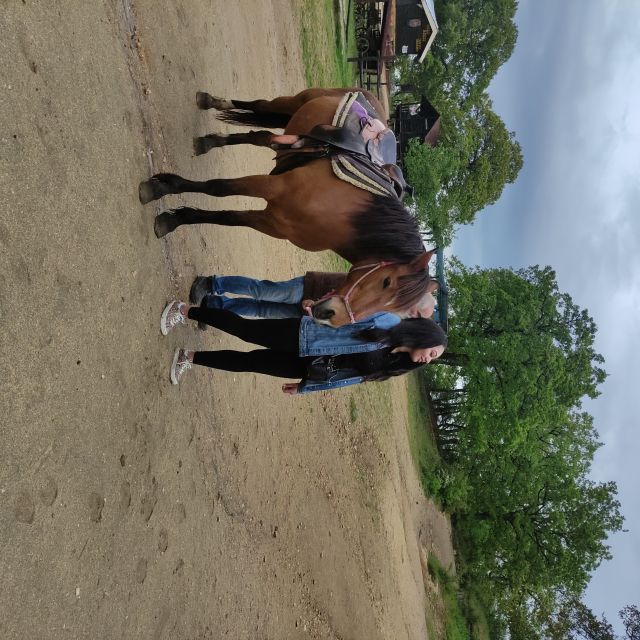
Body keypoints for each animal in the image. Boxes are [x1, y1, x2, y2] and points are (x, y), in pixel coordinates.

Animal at [139, 88, 437, 327]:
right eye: (386, 281)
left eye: (400, 312)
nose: (331, 316)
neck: (340, 216)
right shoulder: (270, 187)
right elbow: (218, 187)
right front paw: (161, 190)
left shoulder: (273, 223)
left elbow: (226, 217)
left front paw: (175, 218)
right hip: (293, 102)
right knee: (260, 106)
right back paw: (211, 103)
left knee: (261, 136)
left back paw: (210, 141)